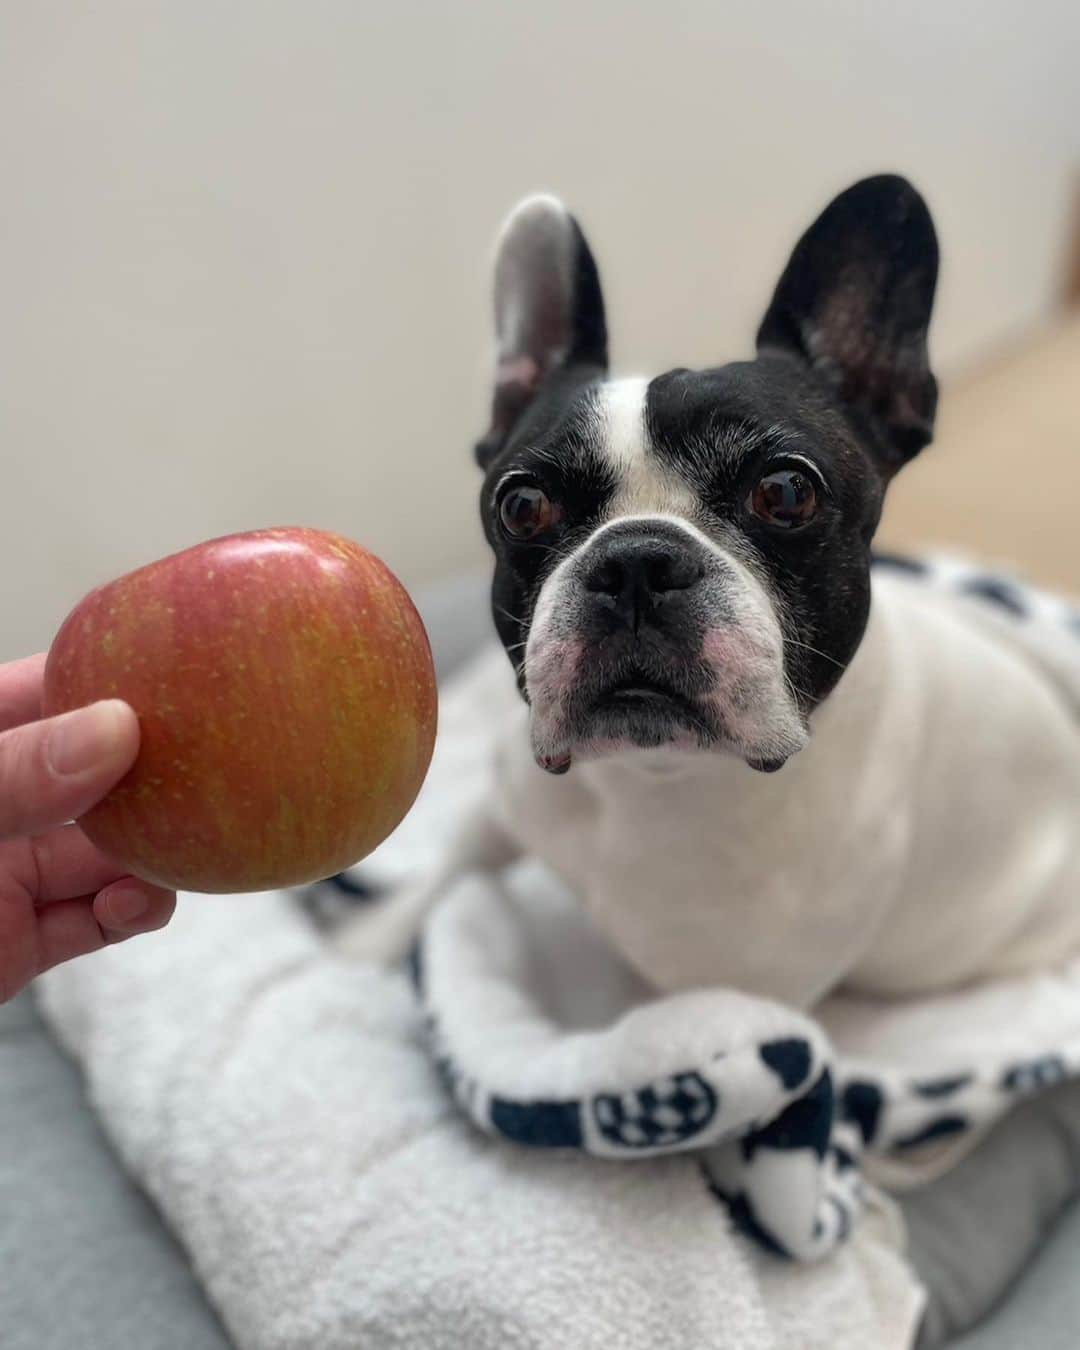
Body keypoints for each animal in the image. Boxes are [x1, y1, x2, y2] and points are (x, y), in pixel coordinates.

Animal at [344, 174, 1069, 1015]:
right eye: (522, 505)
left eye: (785, 493)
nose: (635, 561)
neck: (653, 777)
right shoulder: (505, 804)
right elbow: (445, 871)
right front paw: (354, 950)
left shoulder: (720, 998)